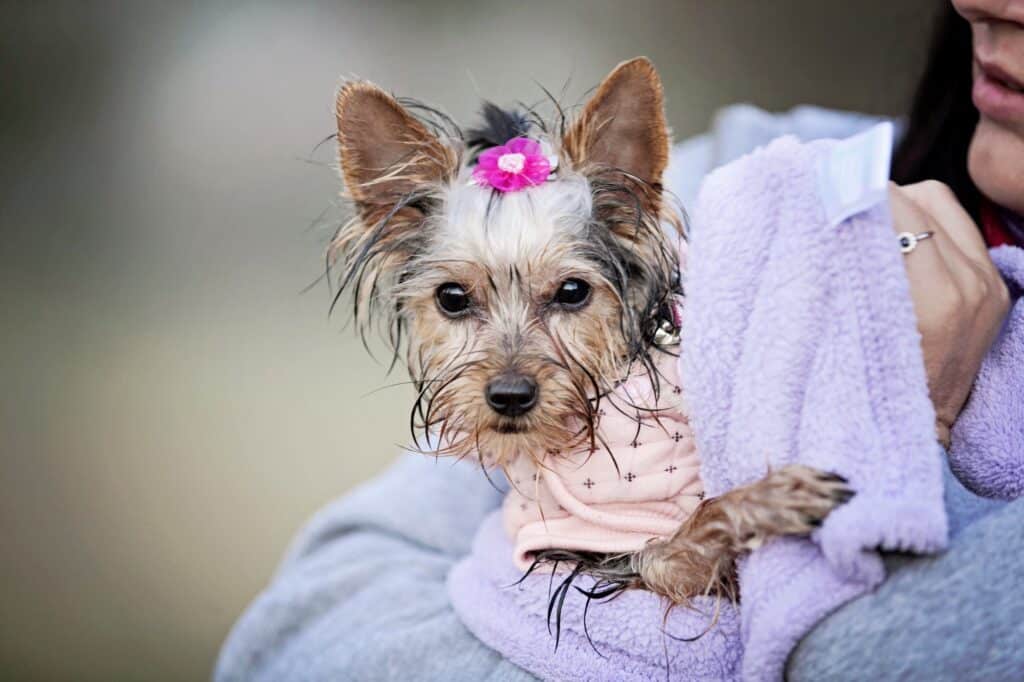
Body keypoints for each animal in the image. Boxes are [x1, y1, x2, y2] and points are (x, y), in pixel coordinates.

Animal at [331, 58, 851, 606]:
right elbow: (678, 547)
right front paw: (771, 499)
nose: (510, 395)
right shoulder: (606, 543)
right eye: (451, 298)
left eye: (573, 291)